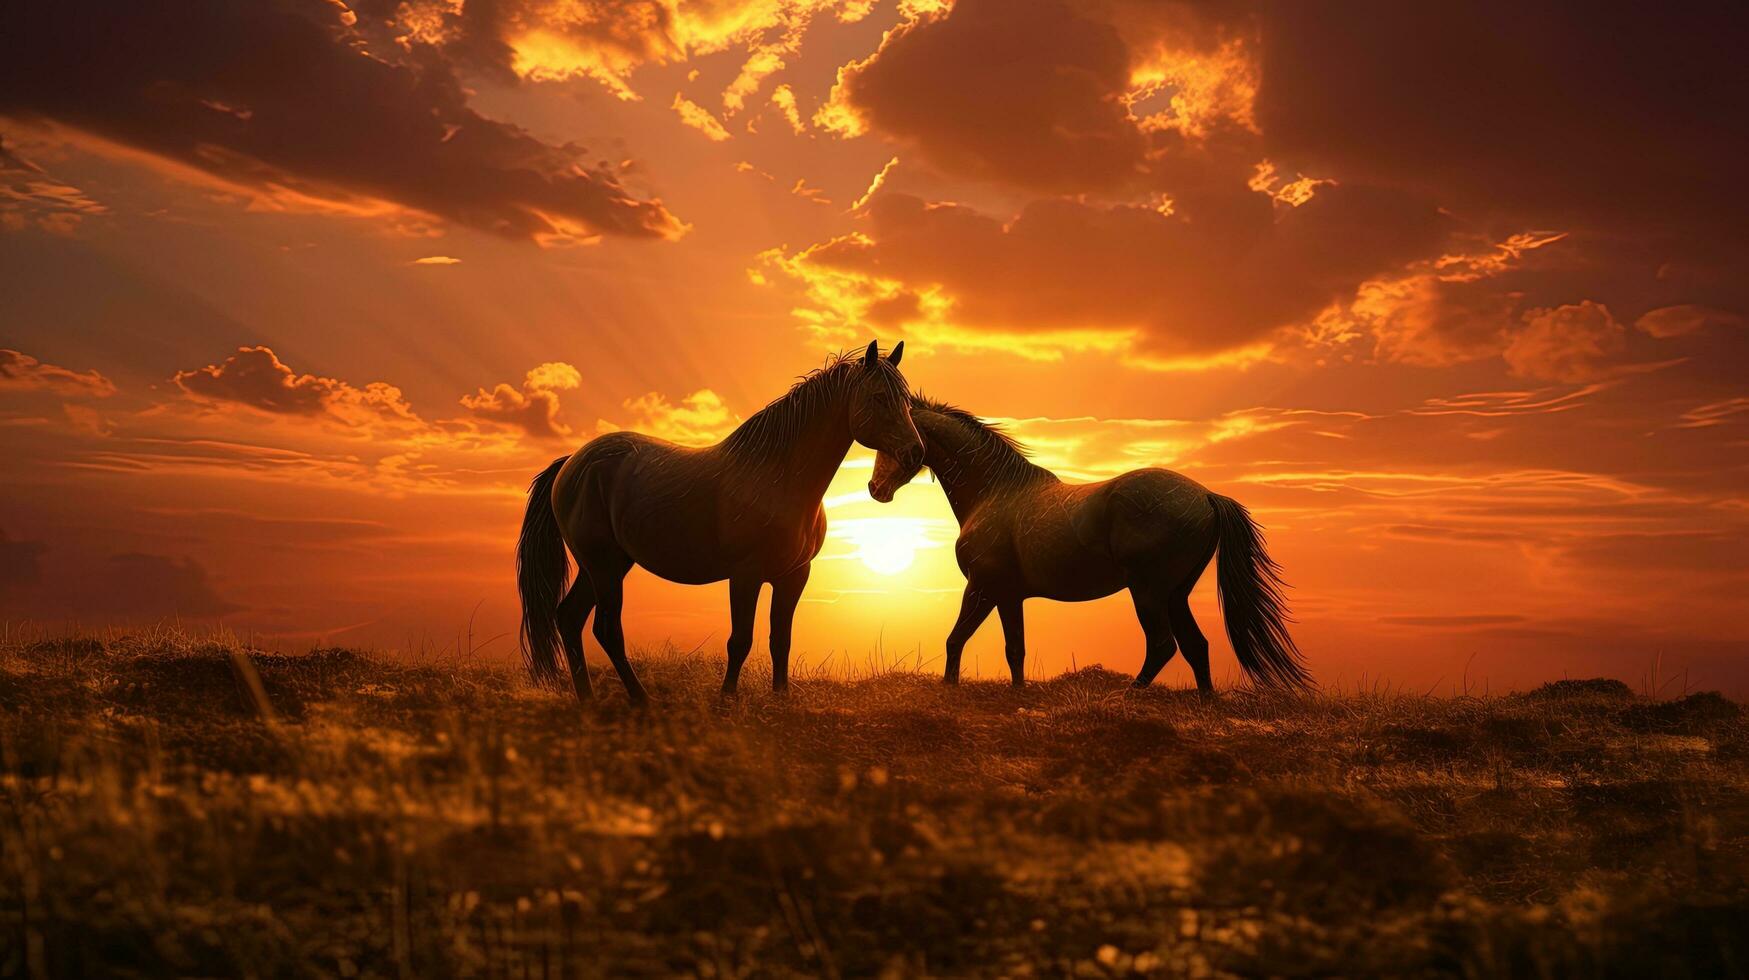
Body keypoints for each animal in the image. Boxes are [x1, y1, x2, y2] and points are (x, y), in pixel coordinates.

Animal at [517, 341, 930, 700]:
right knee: (606, 628)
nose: (915, 454)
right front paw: (727, 699)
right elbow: (741, 640)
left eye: (906, 400)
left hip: (604, 566)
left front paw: (781, 698)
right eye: (879, 398)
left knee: (569, 618)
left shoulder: (794, 575)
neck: (776, 477)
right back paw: (640, 699)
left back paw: (587, 699)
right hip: (604, 567)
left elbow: (781, 639)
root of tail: (572, 463)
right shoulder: (745, 575)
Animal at [867, 393, 1308, 693]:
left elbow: (955, 638)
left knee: (1162, 645)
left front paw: (949, 688)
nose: (875, 489)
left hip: (1148, 592)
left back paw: (1128, 695)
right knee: (1195, 646)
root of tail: (1205, 496)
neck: (994, 492)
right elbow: (1015, 649)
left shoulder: (981, 587)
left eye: (893, 437)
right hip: (1176, 594)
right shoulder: (1008, 595)